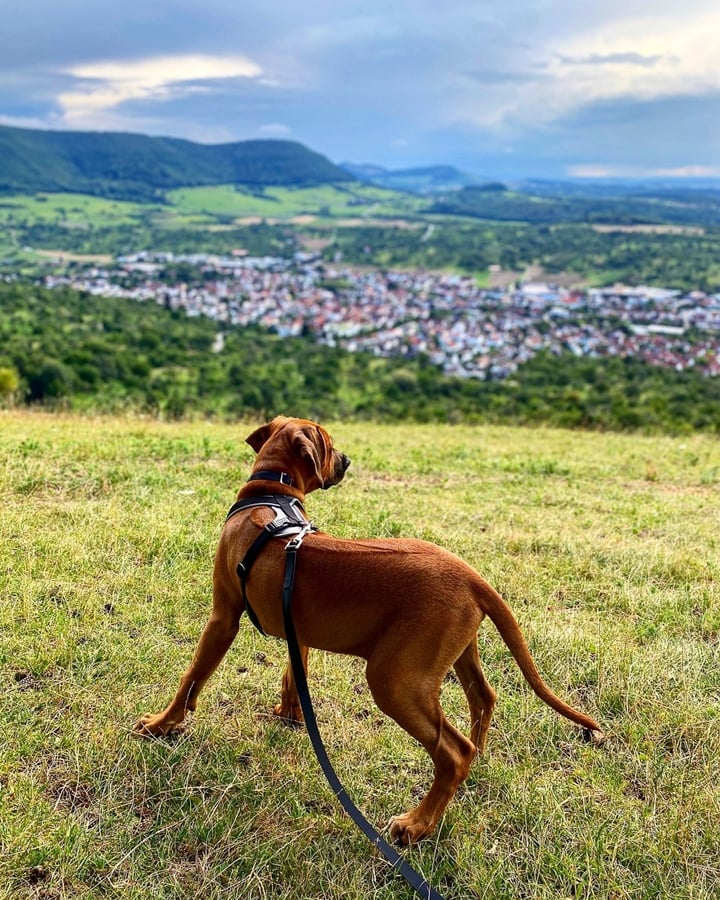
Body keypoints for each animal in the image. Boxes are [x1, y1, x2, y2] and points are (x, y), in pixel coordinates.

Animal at [136, 414, 600, 844]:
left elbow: (191, 677)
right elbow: (293, 676)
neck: (270, 496)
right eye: (331, 444)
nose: (347, 461)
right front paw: (290, 715)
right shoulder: (296, 628)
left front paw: (162, 724)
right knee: (483, 698)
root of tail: (472, 575)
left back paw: (416, 825)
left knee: (452, 752)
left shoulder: (223, 617)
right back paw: (477, 762)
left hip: (395, 679)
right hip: (457, 649)